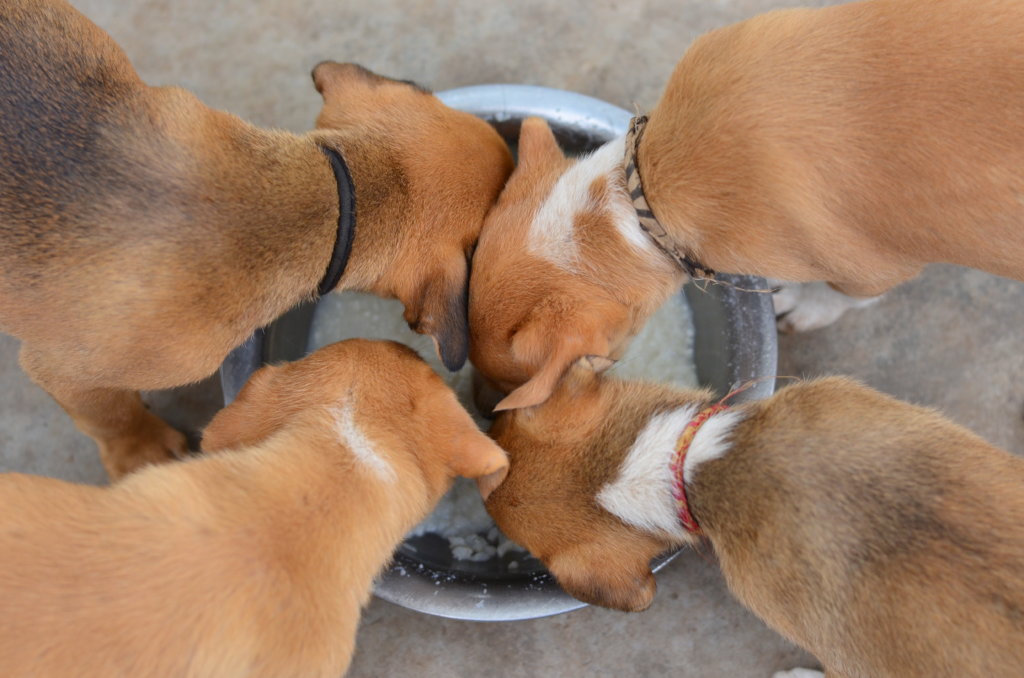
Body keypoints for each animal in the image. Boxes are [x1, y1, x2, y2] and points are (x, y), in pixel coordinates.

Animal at [468, 0, 1024, 409]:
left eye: (522, 384)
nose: (479, 410)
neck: (639, 197)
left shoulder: (874, 264)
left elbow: (842, 294)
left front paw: (802, 306)